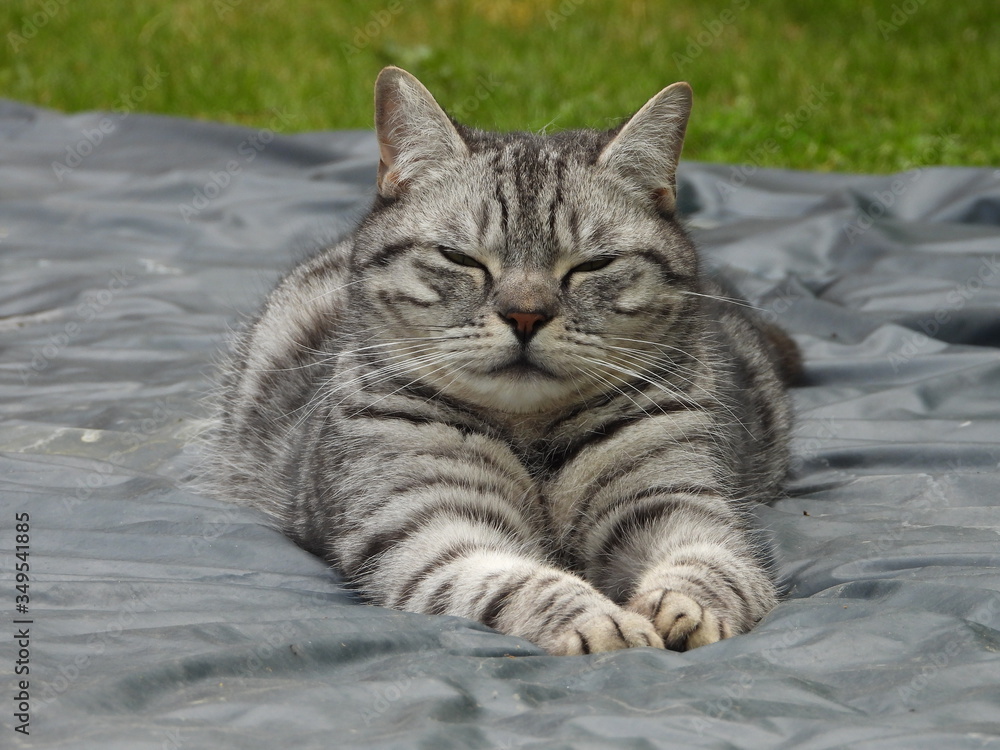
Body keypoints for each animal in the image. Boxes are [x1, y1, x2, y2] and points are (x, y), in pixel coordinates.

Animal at [211, 69, 796, 656]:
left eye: (593, 265)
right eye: (460, 258)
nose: (525, 315)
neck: (531, 437)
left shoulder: (677, 500)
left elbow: (710, 564)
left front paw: (687, 608)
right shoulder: (428, 523)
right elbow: (516, 582)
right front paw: (600, 623)